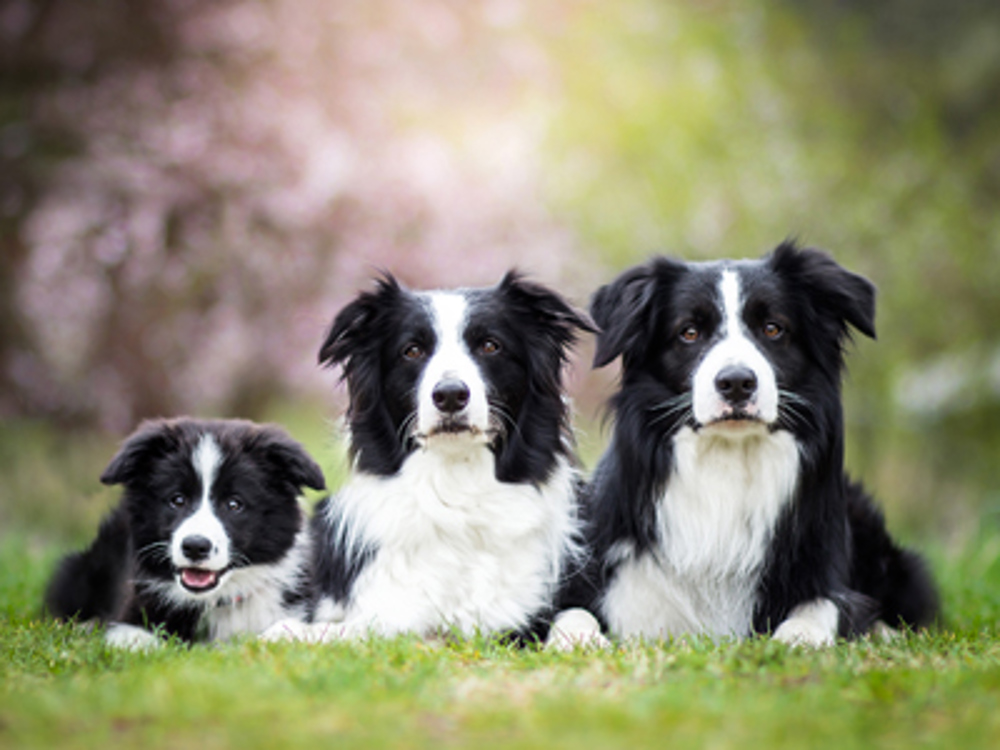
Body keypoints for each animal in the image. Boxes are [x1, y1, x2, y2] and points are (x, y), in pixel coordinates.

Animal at [46, 420, 324, 648]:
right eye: (177, 499)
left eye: (234, 504)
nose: (195, 546)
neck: (215, 601)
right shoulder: (133, 611)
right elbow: (138, 641)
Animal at [264, 274, 592, 644]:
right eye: (412, 351)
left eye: (490, 346)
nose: (450, 395)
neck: (457, 484)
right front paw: (288, 630)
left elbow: (577, 614)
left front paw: (583, 639)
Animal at [564, 244, 936, 648]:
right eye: (689, 332)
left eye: (773, 328)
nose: (737, 383)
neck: (728, 462)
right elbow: (573, 612)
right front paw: (580, 641)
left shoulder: (820, 566)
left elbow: (824, 604)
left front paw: (798, 637)